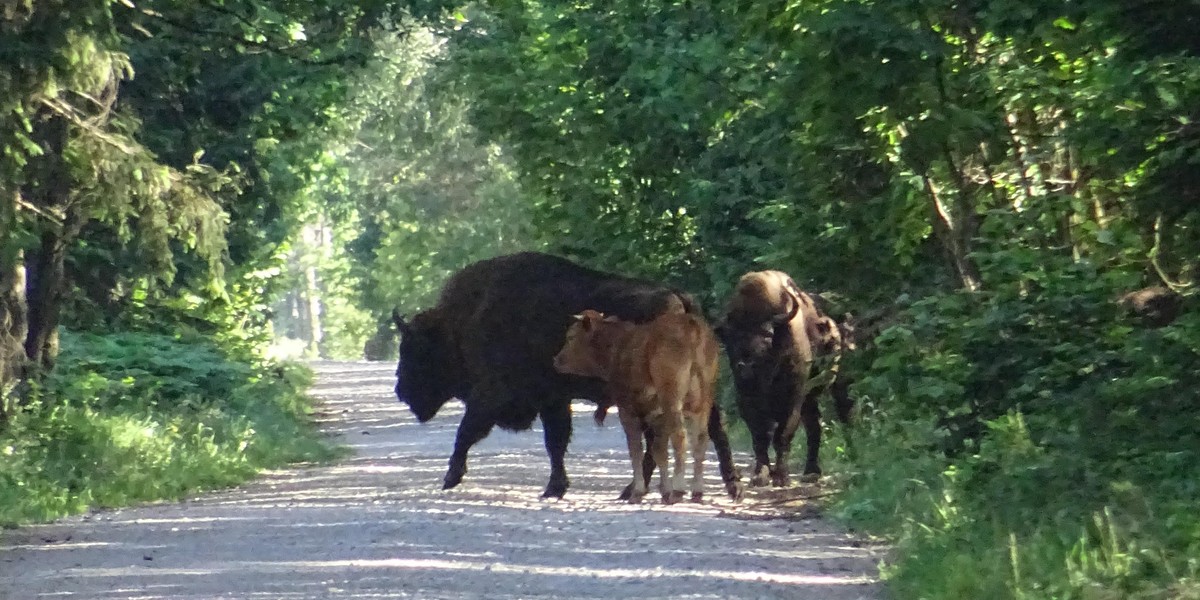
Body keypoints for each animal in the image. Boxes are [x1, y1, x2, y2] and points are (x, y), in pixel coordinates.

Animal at [554, 309, 720, 501]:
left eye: (571, 337)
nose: (556, 359)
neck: (616, 350)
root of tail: (692, 324)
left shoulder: (627, 408)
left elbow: (635, 450)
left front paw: (639, 491)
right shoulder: (656, 413)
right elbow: (659, 451)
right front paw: (664, 491)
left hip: (671, 394)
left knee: (680, 435)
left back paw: (679, 488)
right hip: (703, 397)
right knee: (701, 438)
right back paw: (697, 491)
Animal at [710, 272, 854, 487]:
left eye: (768, 334)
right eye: (730, 336)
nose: (746, 366)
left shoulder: (792, 397)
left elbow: (783, 435)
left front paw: (781, 477)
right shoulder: (747, 400)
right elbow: (760, 437)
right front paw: (760, 476)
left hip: (836, 383)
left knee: (844, 413)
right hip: (809, 399)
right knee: (814, 426)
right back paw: (811, 472)